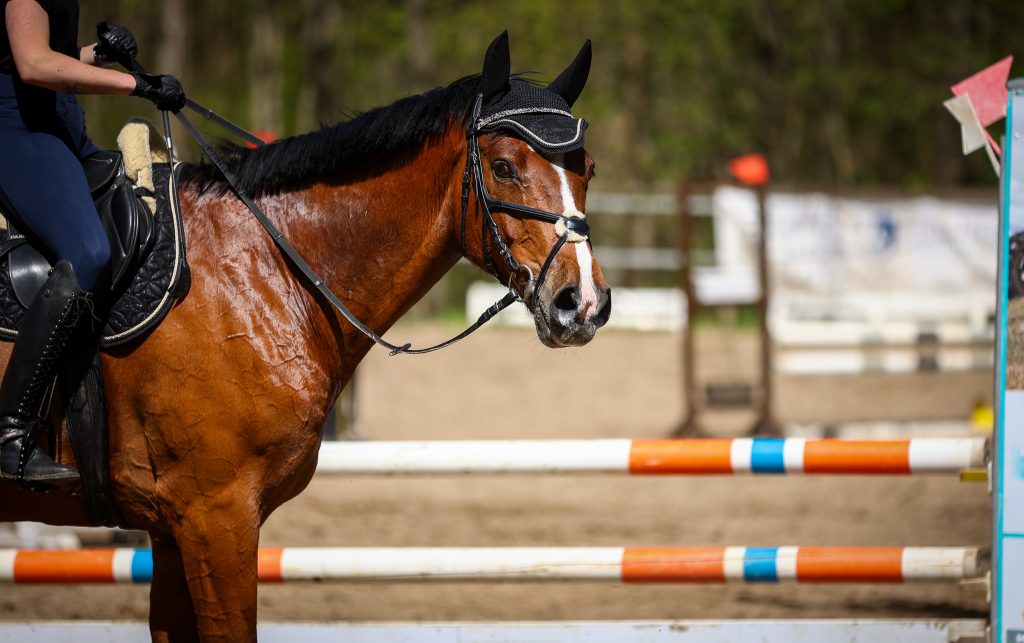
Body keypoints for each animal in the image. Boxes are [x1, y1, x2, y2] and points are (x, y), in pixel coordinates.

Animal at [0, 31, 606, 643]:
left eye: (589, 169)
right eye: (503, 167)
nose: (582, 303)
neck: (265, 268)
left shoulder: (172, 530)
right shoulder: (215, 515)